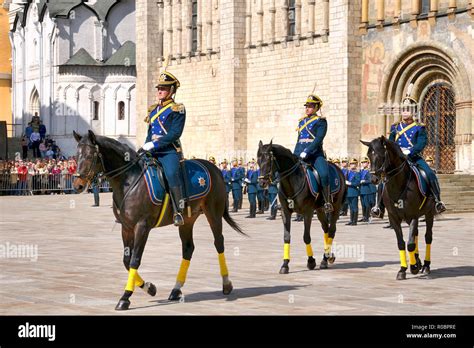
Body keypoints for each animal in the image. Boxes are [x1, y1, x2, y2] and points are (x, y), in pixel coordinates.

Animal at [74, 130, 246, 310]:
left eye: (90, 156)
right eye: (76, 156)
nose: (77, 184)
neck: (129, 179)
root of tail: (214, 168)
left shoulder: (142, 226)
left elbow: (135, 260)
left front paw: (125, 297)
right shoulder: (126, 227)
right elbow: (127, 261)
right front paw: (149, 288)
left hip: (214, 214)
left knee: (219, 243)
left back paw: (226, 284)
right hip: (187, 220)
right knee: (188, 248)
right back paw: (176, 289)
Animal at [258, 140, 346, 274]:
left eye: (269, 160)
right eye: (258, 160)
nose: (262, 182)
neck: (292, 181)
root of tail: (338, 170)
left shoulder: (307, 212)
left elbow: (306, 237)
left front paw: (311, 261)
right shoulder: (285, 212)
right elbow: (286, 237)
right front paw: (285, 264)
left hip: (334, 207)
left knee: (331, 230)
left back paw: (325, 259)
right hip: (320, 210)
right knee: (325, 228)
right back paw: (327, 257)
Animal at [362, 136, 436, 280]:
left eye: (380, 155)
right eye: (368, 155)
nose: (373, 179)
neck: (398, 184)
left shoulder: (413, 215)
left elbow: (410, 244)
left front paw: (413, 267)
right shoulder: (394, 217)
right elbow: (401, 242)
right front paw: (403, 269)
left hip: (429, 213)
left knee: (428, 237)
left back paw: (425, 265)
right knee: (416, 234)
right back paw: (418, 261)